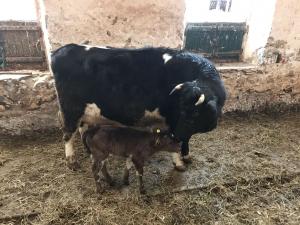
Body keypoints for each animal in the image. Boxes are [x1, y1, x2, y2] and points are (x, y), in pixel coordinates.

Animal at [50, 43, 226, 171]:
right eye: (181, 110)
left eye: (194, 117)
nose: (177, 135)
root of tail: (63, 49)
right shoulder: (172, 118)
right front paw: (179, 162)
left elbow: (187, 138)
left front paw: (186, 156)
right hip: (70, 108)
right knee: (67, 134)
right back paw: (71, 160)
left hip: (84, 111)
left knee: (82, 128)